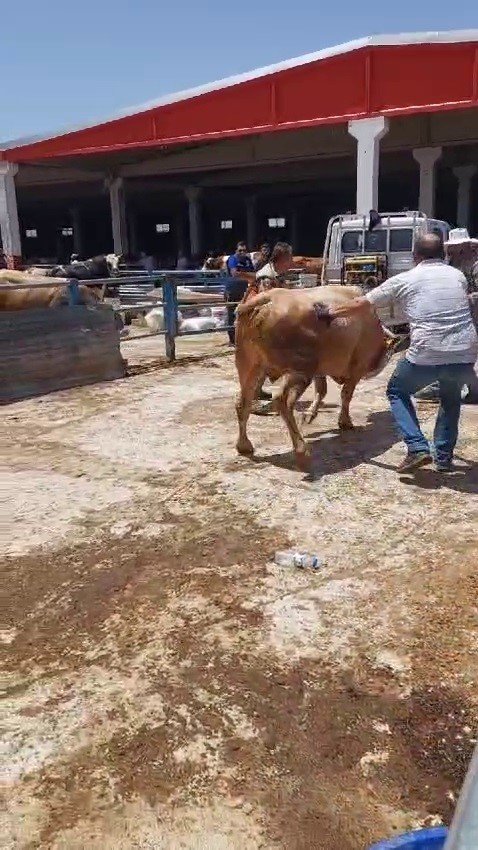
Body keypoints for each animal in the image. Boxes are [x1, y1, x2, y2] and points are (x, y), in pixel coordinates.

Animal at [233, 284, 390, 470]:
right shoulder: (356, 368)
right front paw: (345, 421)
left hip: (249, 367)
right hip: (299, 371)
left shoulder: (320, 370)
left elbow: (321, 390)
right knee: (281, 400)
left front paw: (311, 414)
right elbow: (346, 395)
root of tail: (269, 298)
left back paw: (244, 445)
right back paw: (301, 451)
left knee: (243, 403)